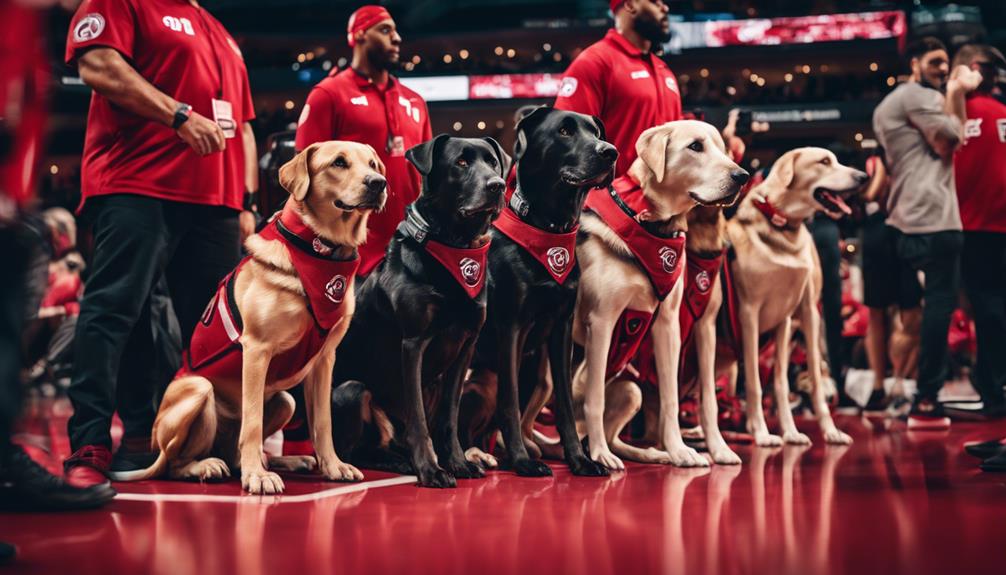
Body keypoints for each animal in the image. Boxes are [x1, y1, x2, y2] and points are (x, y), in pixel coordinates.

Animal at [331, 135, 507, 490]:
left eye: (493, 162)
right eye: (461, 162)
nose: (498, 185)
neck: (455, 245)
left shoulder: (465, 348)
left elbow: (449, 418)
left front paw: (456, 462)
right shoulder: (413, 344)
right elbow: (419, 419)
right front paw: (431, 469)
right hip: (351, 391)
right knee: (356, 451)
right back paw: (399, 462)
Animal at [460, 106, 615, 476]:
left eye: (596, 132)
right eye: (564, 131)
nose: (611, 152)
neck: (549, 228)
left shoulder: (560, 330)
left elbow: (566, 405)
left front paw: (579, 460)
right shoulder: (511, 327)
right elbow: (511, 401)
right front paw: (521, 460)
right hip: (478, 379)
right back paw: (477, 455)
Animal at [728, 146, 869, 444]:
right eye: (824, 161)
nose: (863, 176)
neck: (782, 227)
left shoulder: (798, 315)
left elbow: (796, 380)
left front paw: (809, 431)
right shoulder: (749, 314)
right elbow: (754, 383)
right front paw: (761, 432)